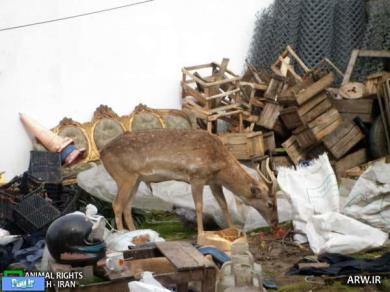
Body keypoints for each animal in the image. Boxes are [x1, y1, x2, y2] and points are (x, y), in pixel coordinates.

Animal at [100, 129, 278, 236]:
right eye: (269, 204)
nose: (275, 223)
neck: (220, 164)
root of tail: (102, 153)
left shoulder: (213, 181)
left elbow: (223, 204)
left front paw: (234, 229)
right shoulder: (196, 176)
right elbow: (199, 206)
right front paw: (201, 233)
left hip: (136, 179)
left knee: (127, 206)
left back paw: (135, 234)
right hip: (123, 176)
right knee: (117, 204)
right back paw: (122, 235)